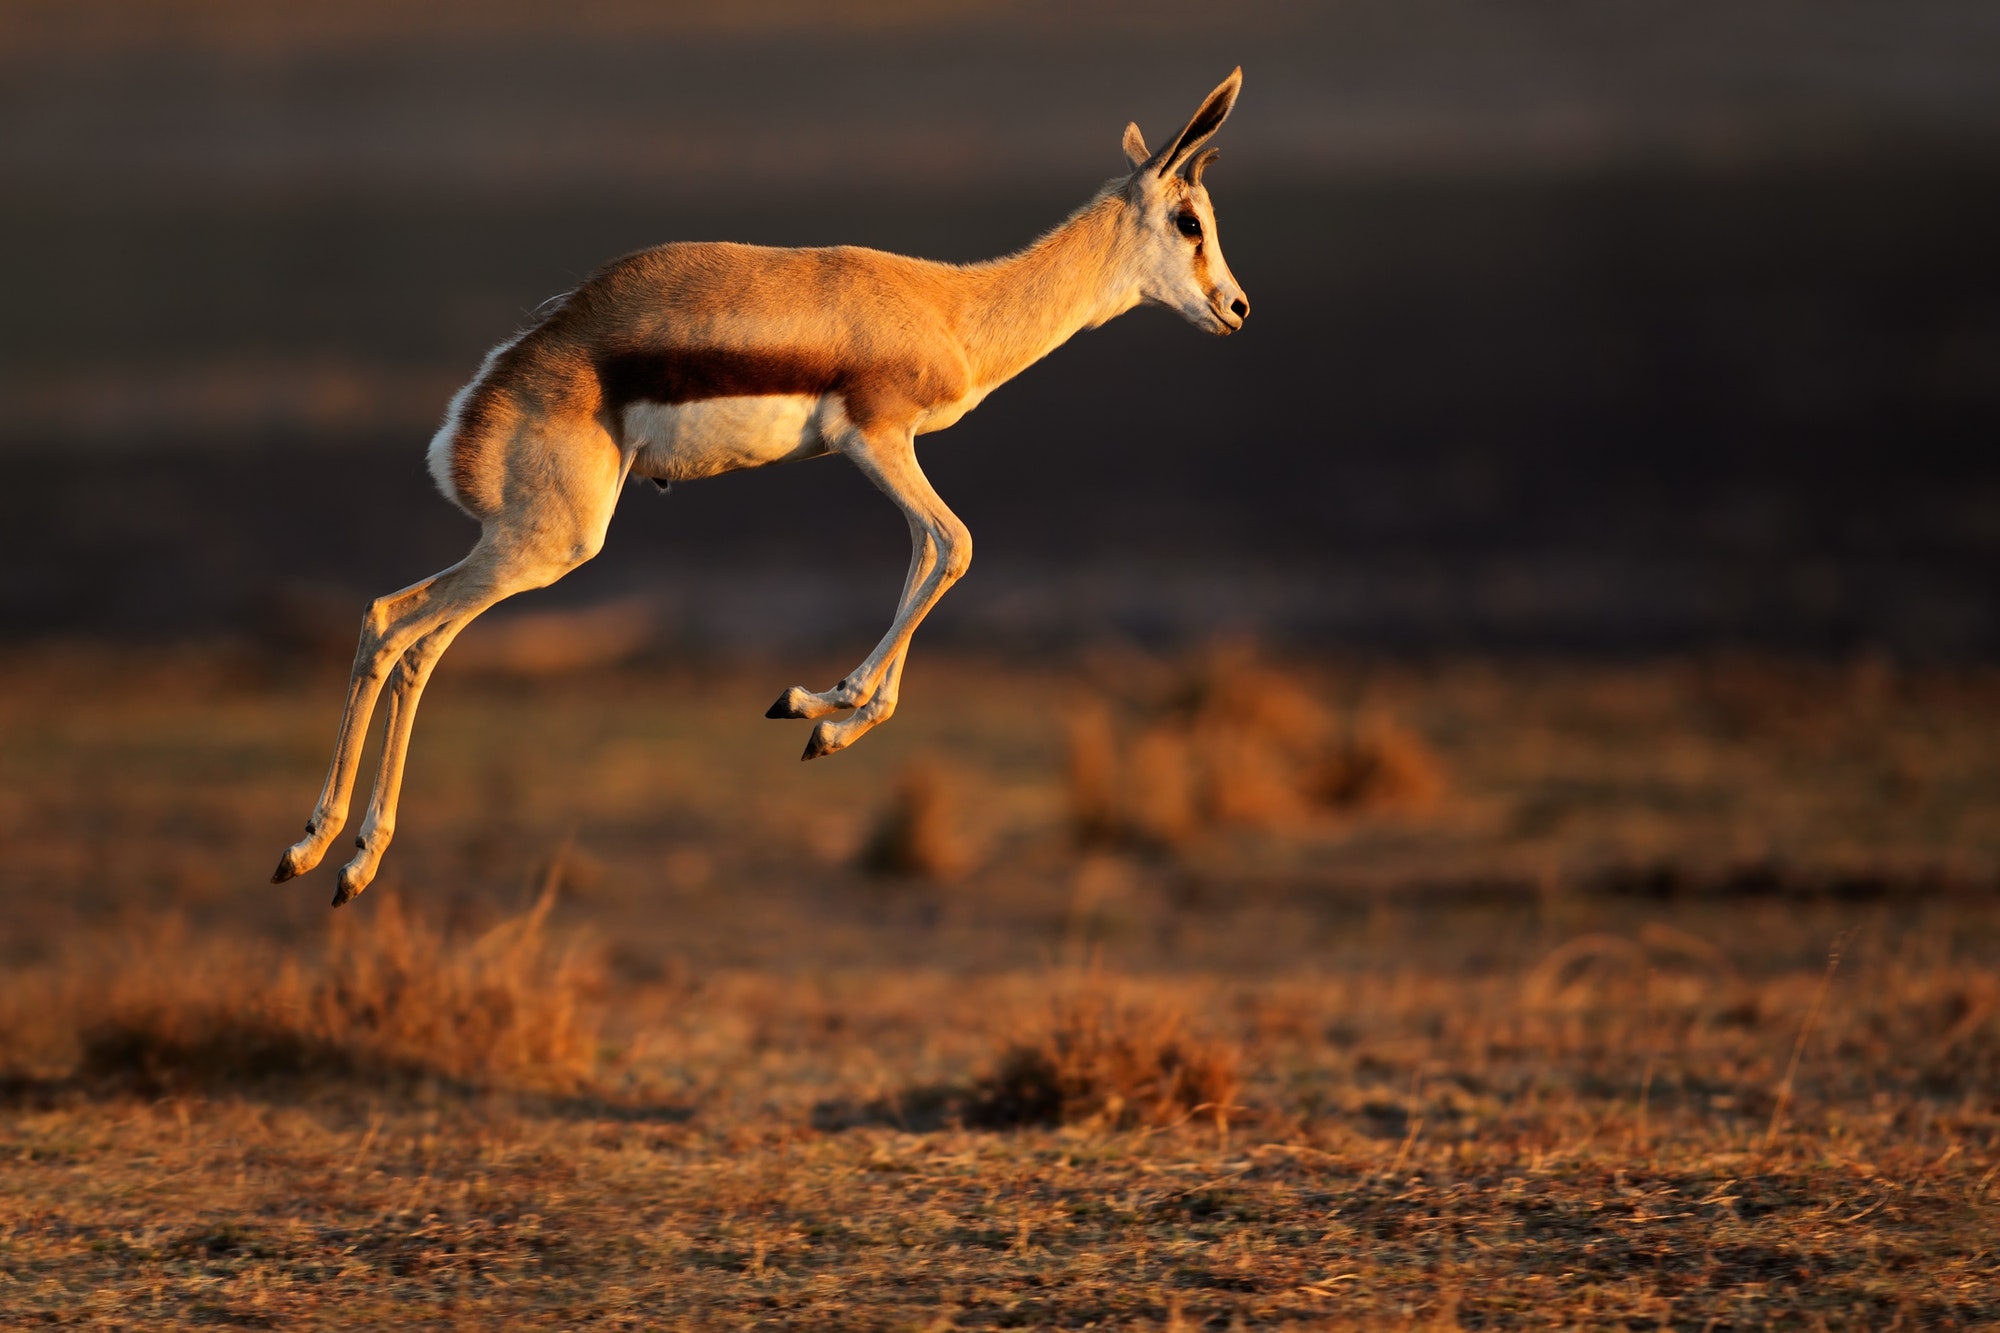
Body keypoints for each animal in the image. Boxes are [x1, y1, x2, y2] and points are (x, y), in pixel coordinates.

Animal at [274, 67, 1248, 908]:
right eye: (1189, 220)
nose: (1236, 308)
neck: (952, 309)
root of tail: (492, 389)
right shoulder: (875, 440)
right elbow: (955, 546)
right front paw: (824, 704)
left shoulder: (887, 454)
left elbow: (923, 559)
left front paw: (822, 718)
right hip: (550, 544)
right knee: (401, 626)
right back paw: (332, 856)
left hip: (519, 543)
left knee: (406, 631)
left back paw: (327, 854)